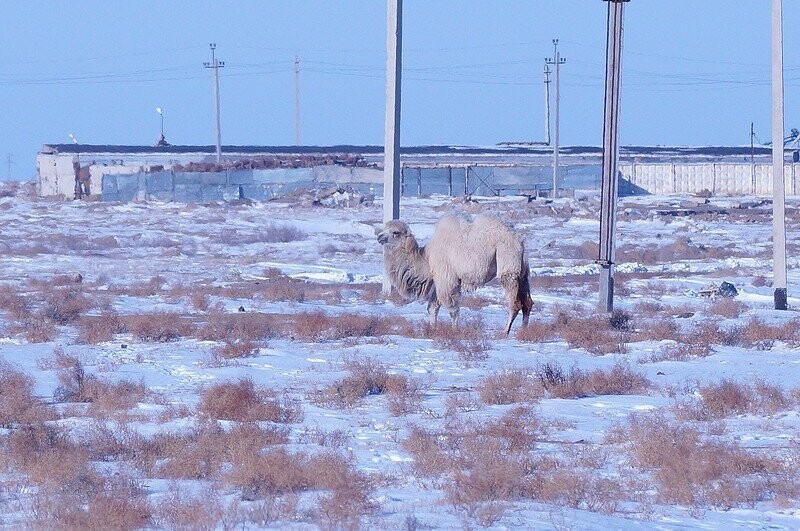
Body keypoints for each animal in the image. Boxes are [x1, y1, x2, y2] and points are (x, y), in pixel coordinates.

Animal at [374, 214, 532, 334]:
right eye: (384, 228)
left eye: (395, 232)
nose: (379, 236)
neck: (426, 258)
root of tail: (519, 240)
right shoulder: (439, 279)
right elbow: (432, 308)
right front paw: (432, 330)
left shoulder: (446, 278)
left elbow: (452, 308)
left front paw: (454, 331)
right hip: (522, 272)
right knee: (527, 302)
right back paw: (523, 331)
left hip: (507, 262)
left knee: (515, 303)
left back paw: (505, 332)